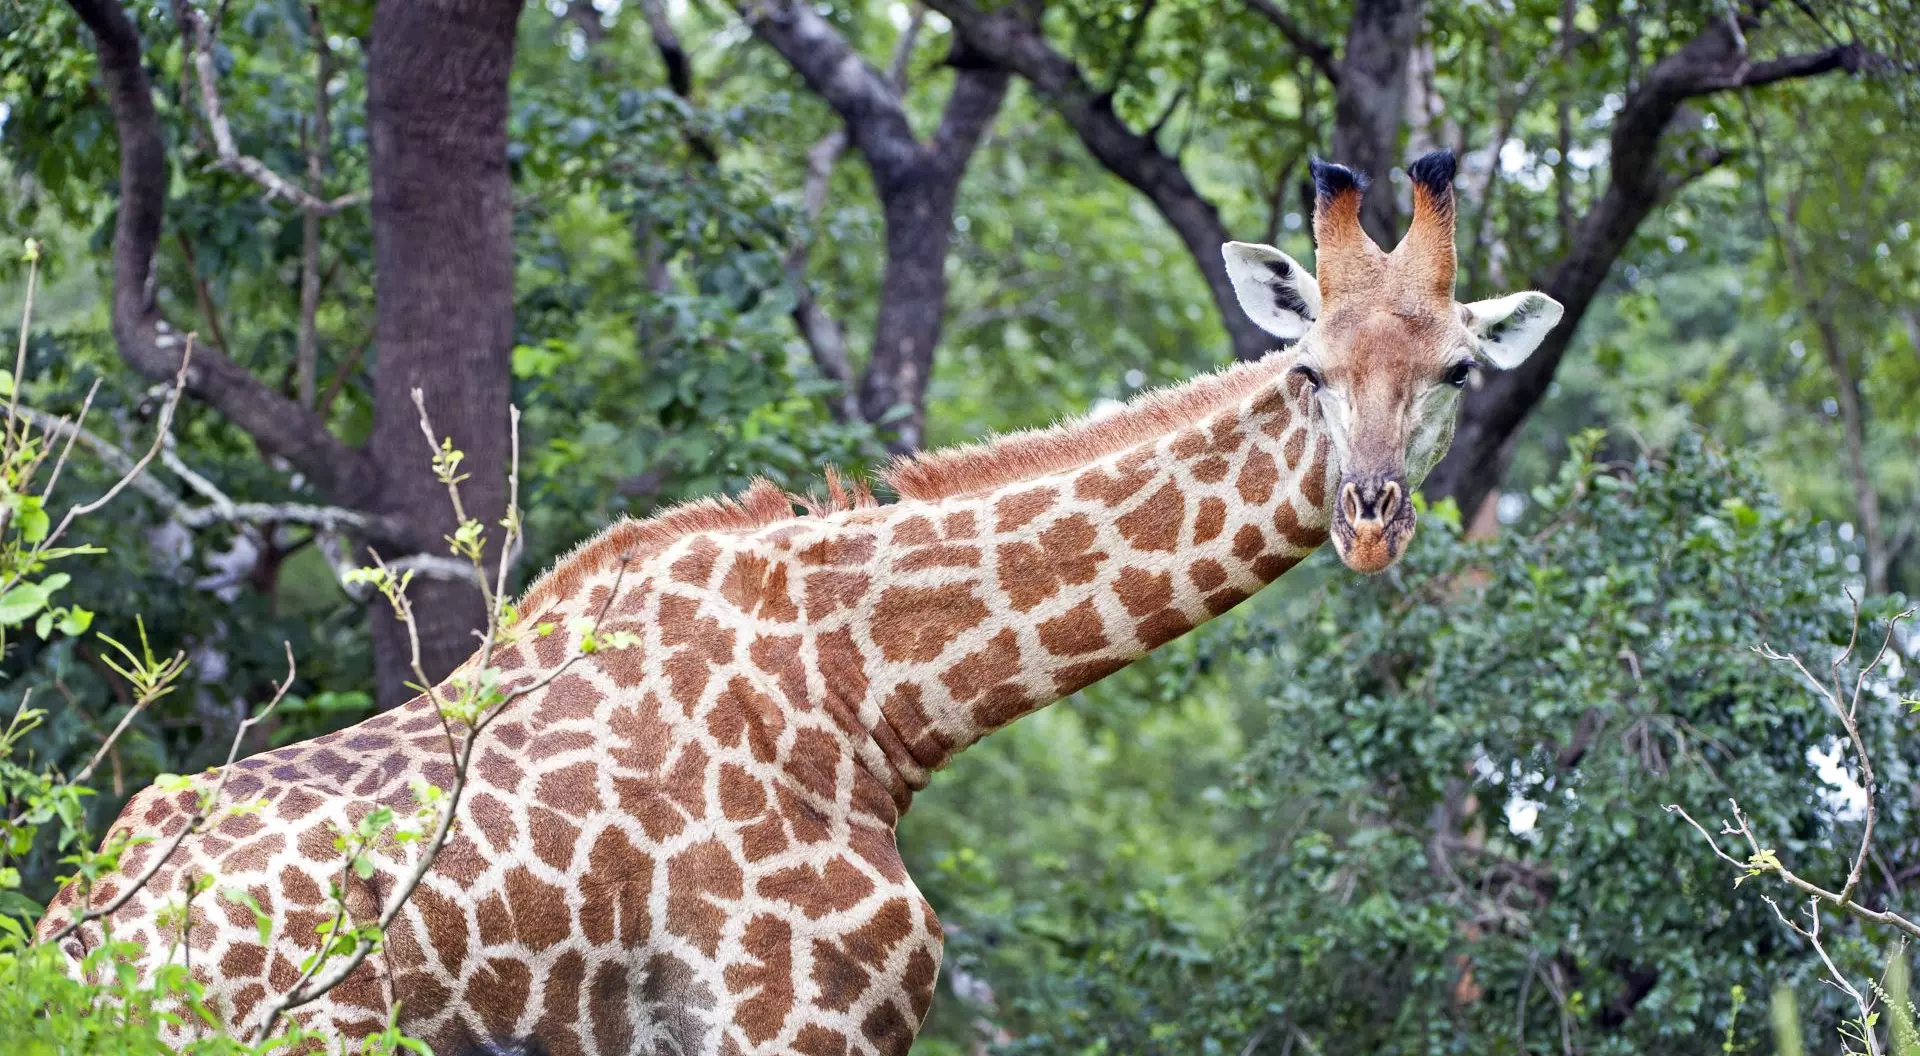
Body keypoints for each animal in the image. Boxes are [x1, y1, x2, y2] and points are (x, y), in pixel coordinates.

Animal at [37, 150, 1562, 1054]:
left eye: (1456, 373)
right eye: (1307, 368)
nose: (1369, 517)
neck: (874, 695)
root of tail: (77, 939)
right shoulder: (798, 1018)